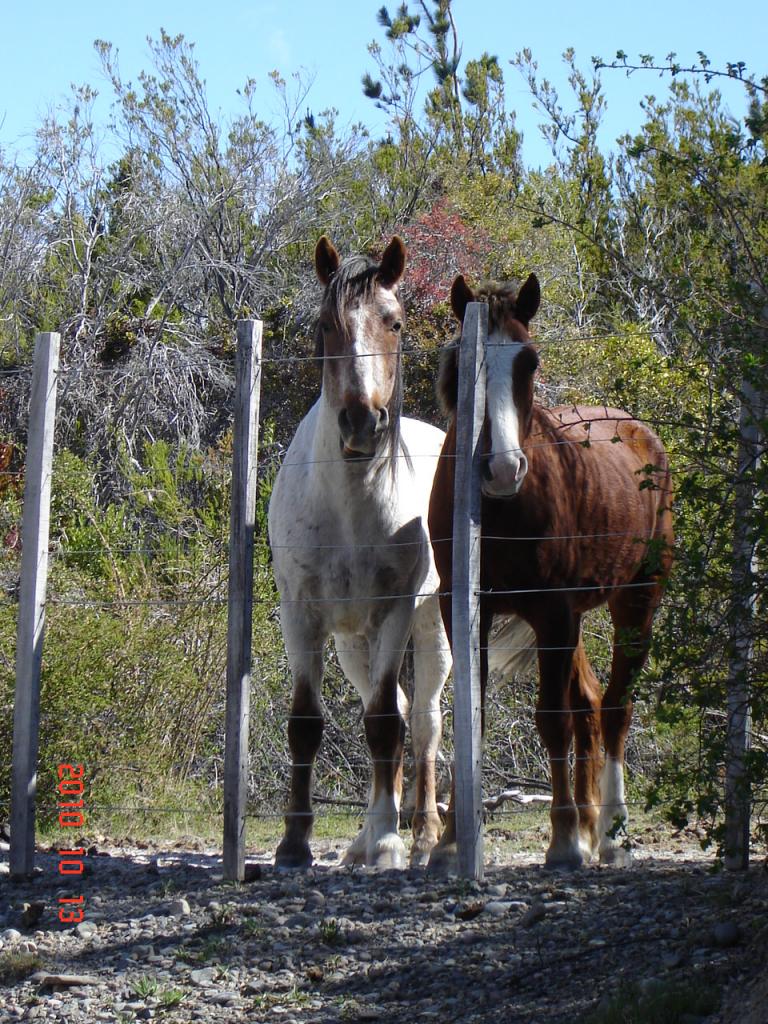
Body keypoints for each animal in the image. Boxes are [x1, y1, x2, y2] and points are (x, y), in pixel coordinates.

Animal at [268, 235, 450, 868]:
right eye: (326, 325)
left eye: (393, 322)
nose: (361, 422)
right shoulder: (301, 616)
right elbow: (305, 723)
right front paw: (294, 843)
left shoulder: (395, 610)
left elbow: (386, 725)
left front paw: (393, 841)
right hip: (352, 641)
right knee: (390, 702)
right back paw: (363, 840)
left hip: (430, 625)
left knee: (421, 719)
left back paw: (422, 834)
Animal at [430, 274, 675, 872]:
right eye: (464, 361)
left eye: (530, 362)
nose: (501, 468)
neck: (498, 511)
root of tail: (640, 431)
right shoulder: (463, 608)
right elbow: (470, 712)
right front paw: (450, 842)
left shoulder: (552, 610)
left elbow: (552, 719)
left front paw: (563, 840)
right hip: (574, 621)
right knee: (590, 704)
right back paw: (592, 828)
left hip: (634, 601)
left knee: (614, 708)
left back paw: (610, 834)